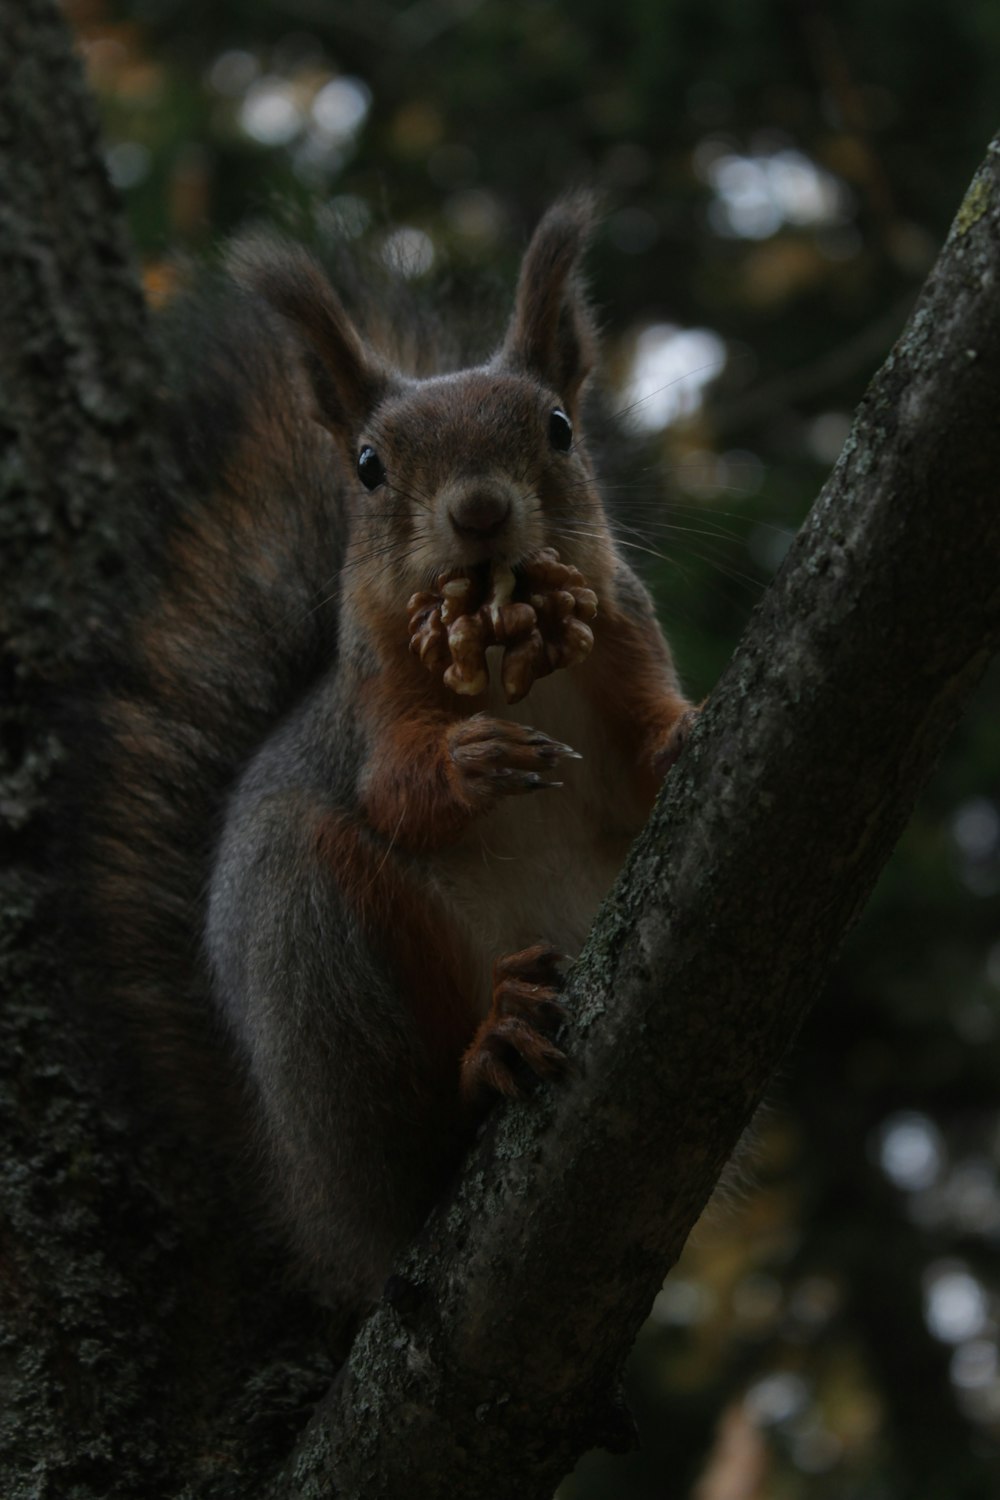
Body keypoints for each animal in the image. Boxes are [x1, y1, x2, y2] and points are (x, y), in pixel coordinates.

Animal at [82, 199, 695, 1338]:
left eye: (559, 427)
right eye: (367, 464)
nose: (479, 512)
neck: (504, 654)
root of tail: (312, 1205)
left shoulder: (625, 639)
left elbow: (645, 764)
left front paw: (688, 731)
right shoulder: (374, 702)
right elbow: (393, 794)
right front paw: (473, 760)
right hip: (319, 952)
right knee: (409, 1140)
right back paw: (490, 1052)